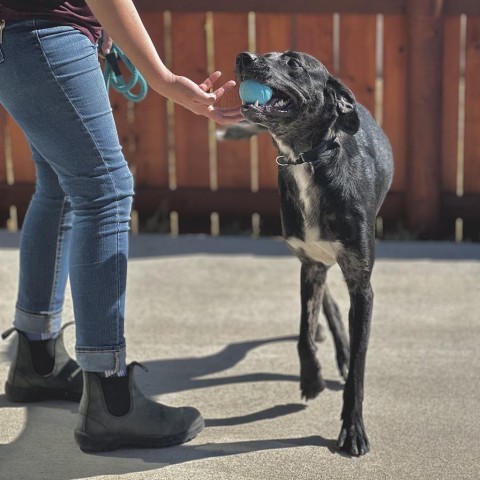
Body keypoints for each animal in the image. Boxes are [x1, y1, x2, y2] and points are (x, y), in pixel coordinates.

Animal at [223, 50, 392, 456]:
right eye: (262, 54)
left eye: (293, 63)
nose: (244, 57)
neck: (307, 160)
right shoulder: (309, 264)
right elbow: (302, 330)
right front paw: (311, 376)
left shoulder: (361, 283)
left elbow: (358, 371)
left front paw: (353, 430)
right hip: (313, 262)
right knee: (325, 303)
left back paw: (342, 351)